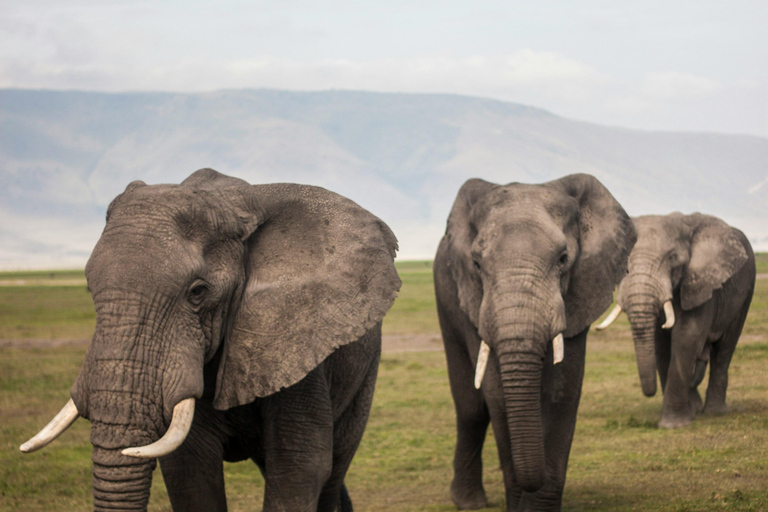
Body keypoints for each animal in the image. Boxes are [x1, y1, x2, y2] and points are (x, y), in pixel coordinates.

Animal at [19, 169, 402, 512]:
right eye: (89, 288)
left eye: (198, 292)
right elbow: (190, 470)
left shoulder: (295, 337)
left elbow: (300, 467)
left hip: (365, 372)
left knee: (334, 468)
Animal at [432, 174, 636, 510]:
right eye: (476, 264)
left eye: (564, 259)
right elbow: (497, 393)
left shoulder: (579, 292)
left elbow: (561, 391)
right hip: (445, 298)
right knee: (471, 408)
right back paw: (469, 503)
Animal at [592, 212, 756, 428]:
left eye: (673, 258)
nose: (649, 392)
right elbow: (661, 345)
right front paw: (687, 414)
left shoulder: (700, 283)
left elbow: (687, 336)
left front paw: (673, 425)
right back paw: (697, 407)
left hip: (746, 292)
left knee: (725, 349)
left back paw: (714, 411)